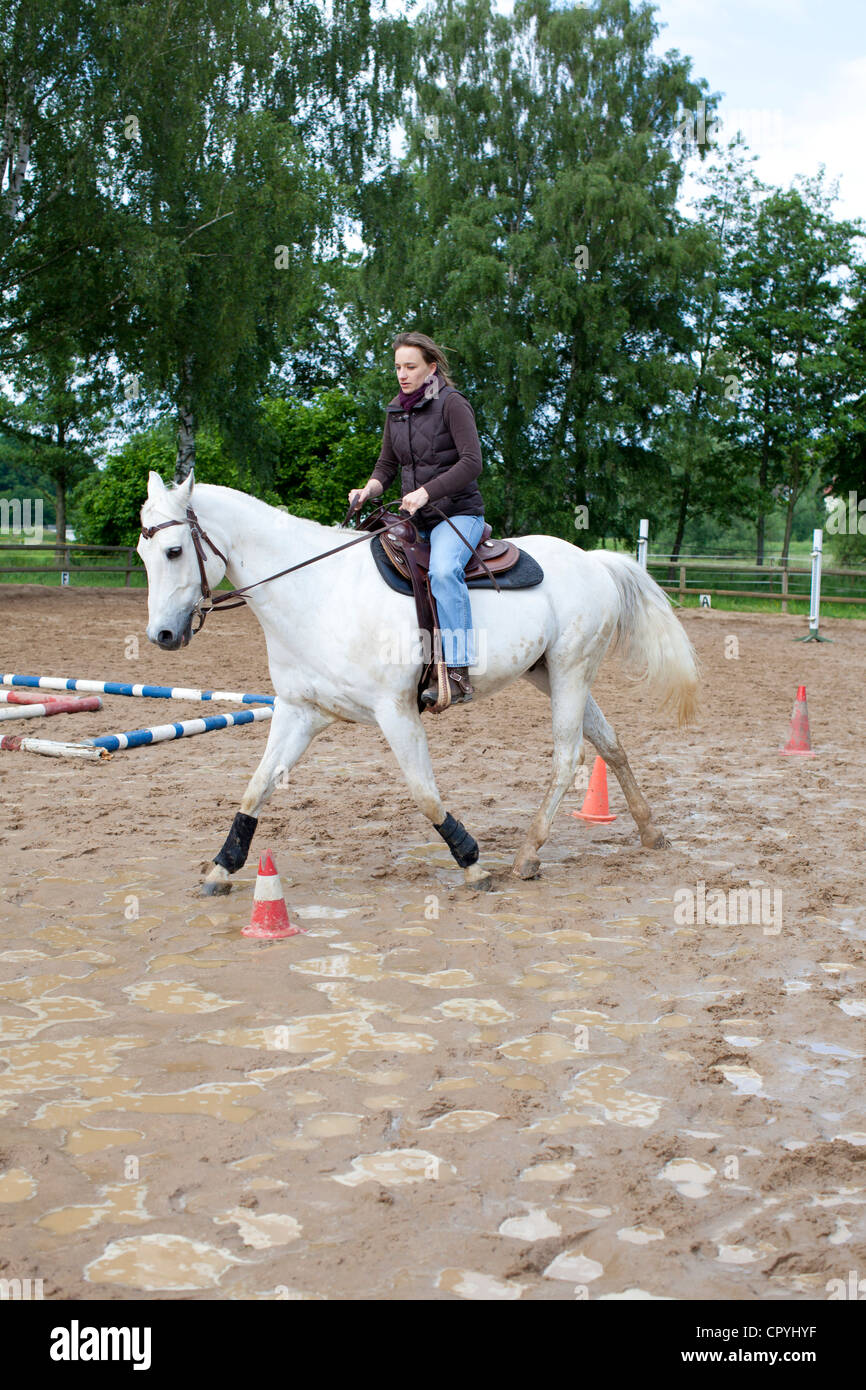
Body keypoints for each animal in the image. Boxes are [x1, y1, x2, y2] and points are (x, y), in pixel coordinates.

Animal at [137, 471, 698, 893]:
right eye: (144, 555)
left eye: (173, 551)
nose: (161, 635)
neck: (319, 592)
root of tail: (592, 559)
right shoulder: (299, 712)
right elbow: (257, 788)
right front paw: (221, 867)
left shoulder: (396, 712)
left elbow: (424, 792)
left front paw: (472, 863)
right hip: (551, 674)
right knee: (610, 742)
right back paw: (650, 831)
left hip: (570, 670)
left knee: (568, 756)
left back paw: (527, 855)